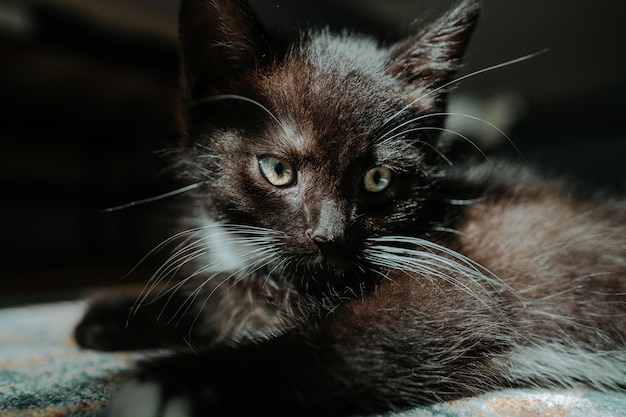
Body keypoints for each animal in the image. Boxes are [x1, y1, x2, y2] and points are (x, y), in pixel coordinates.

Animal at [74, 0, 624, 416]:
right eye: (277, 170)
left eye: (377, 179)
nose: (330, 237)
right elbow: (216, 295)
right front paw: (113, 313)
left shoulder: (454, 293)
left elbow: (333, 343)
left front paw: (173, 383)